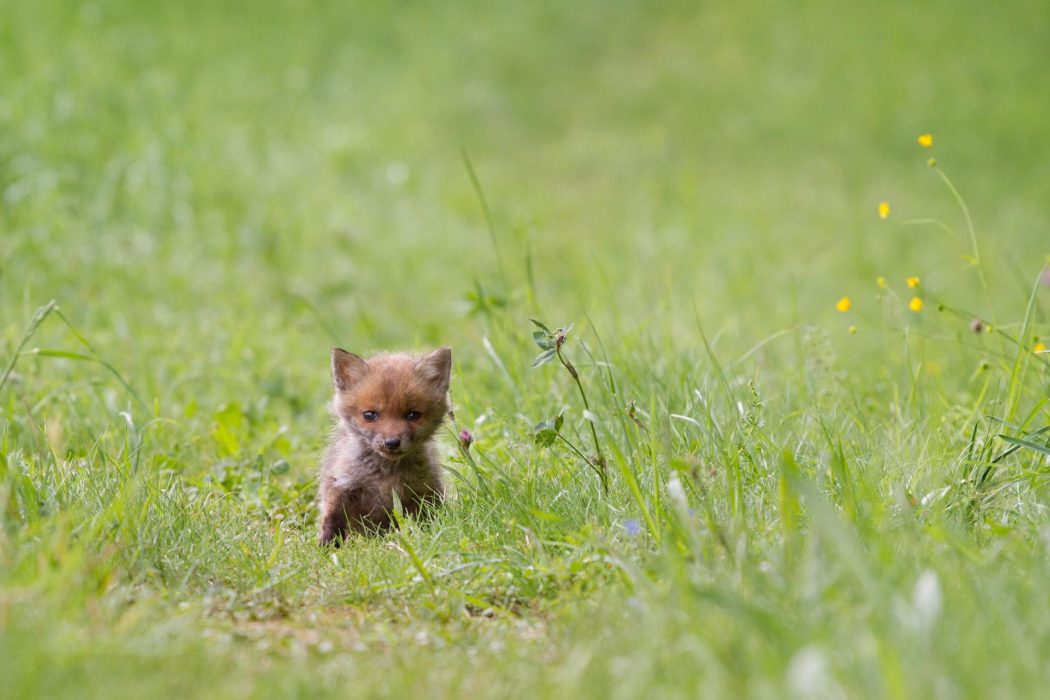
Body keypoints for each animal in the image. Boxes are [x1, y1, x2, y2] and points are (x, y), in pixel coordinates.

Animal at [317, 346, 451, 545]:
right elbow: (332, 521)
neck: (385, 476)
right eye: (369, 415)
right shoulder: (341, 486)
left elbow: (424, 523)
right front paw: (326, 547)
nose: (392, 443)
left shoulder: (422, 492)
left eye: (413, 415)